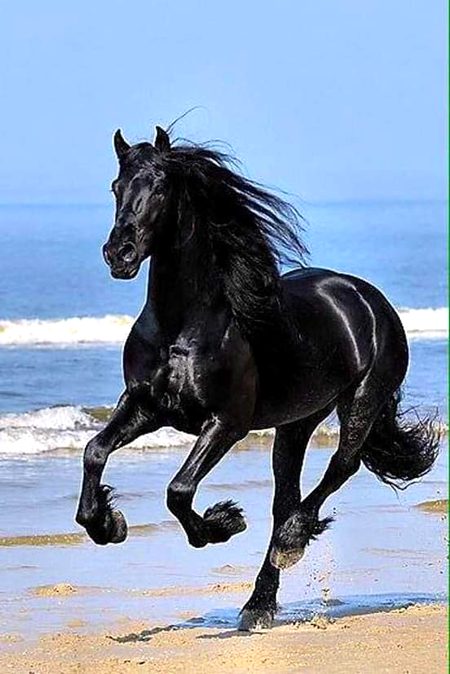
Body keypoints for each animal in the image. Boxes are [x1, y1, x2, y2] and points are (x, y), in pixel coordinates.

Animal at [75, 125, 439, 631]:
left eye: (161, 188)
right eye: (116, 187)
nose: (119, 254)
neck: (181, 326)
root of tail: (366, 297)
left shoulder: (226, 423)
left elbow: (178, 490)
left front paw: (223, 523)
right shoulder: (146, 406)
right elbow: (94, 451)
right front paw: (107, 524)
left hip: (362, 400)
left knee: (339, 467)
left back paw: (290, 543)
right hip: (297, 422)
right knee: (286, 495)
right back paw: (259, 604)